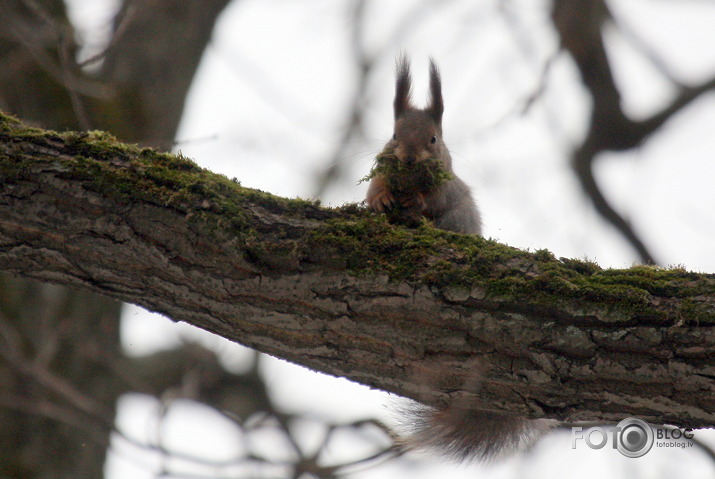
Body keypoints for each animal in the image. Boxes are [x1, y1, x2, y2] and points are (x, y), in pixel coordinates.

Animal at [370, 56, 482, 236]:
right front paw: (381, 198)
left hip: (461, 215)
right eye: (394, 136)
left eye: (433, 139)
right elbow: (374, 187)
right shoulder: (382, 172)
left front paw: (416, 198)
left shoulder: (443, 186)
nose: (409, 158)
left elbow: (434, 200)